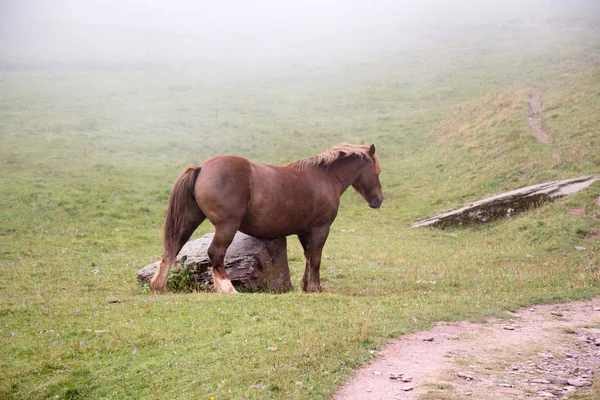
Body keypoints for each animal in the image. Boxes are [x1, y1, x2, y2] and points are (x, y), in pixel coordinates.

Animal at [151, 142, 384, 292]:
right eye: (377, 171)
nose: (378, 200)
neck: (325, 178)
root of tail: (201, 168)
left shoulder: (304, 231)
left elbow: (309, 257)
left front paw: (305, 285)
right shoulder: (320, 228)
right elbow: (316, 257)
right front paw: (315, 287)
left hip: (188, 221)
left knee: (172, 249)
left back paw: (158, 285)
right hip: (227, 226)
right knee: (215, 253)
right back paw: (228, 289)